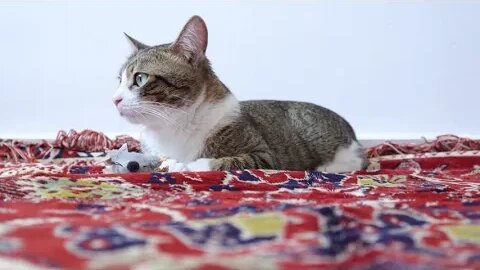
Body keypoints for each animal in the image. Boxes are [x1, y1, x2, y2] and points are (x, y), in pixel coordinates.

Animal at [112, 15, 368, 173]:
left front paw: (188, 166)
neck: (173, 126)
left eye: (140, 78)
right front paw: (167, 163)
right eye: (119, 81)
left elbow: (229, 161)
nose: (114, 99)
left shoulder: (265, 155)